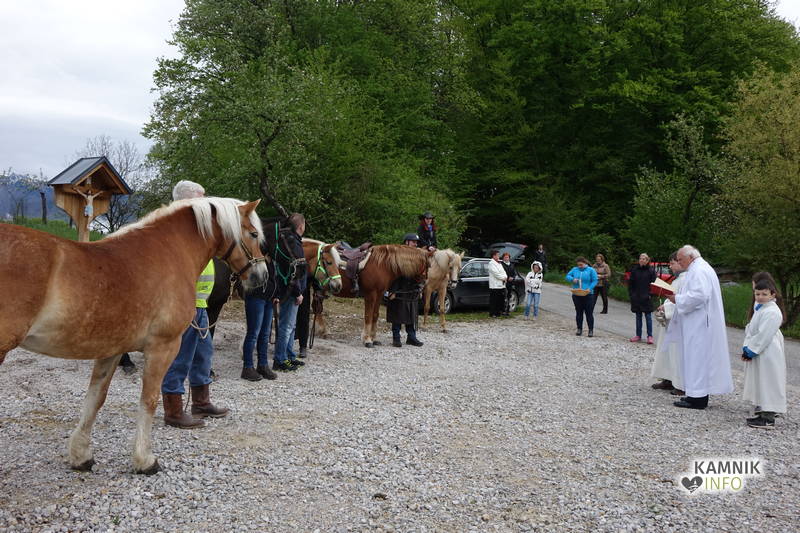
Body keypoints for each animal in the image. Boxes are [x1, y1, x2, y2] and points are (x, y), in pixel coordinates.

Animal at [0, 197, 268, 475]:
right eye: (253, 234)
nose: (262, 276)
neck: (170, 251)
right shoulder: (163, 347)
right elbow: (149, 400)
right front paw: (145, 460)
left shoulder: (112, 350)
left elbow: (95, 398)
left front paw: (81, 454)